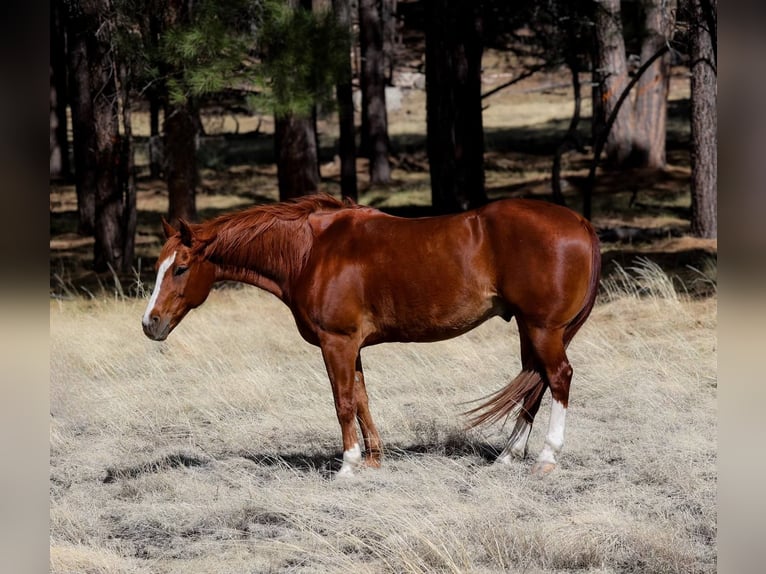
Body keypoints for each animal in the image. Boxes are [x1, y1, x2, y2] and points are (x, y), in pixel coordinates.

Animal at [142, 194, 601, 477]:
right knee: (533, 384)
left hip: (542, 329)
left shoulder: (337, 342)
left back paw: (546, 458)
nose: (150, 323)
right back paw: (506, 457)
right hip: (530, 328)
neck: (312, 251)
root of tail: (580, 221)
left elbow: (343, 402)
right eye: (158, 266)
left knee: (558, 378)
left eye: (180, 268)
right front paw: (374, 459)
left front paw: (347, 465)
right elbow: (361, 398)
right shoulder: (352, 346)